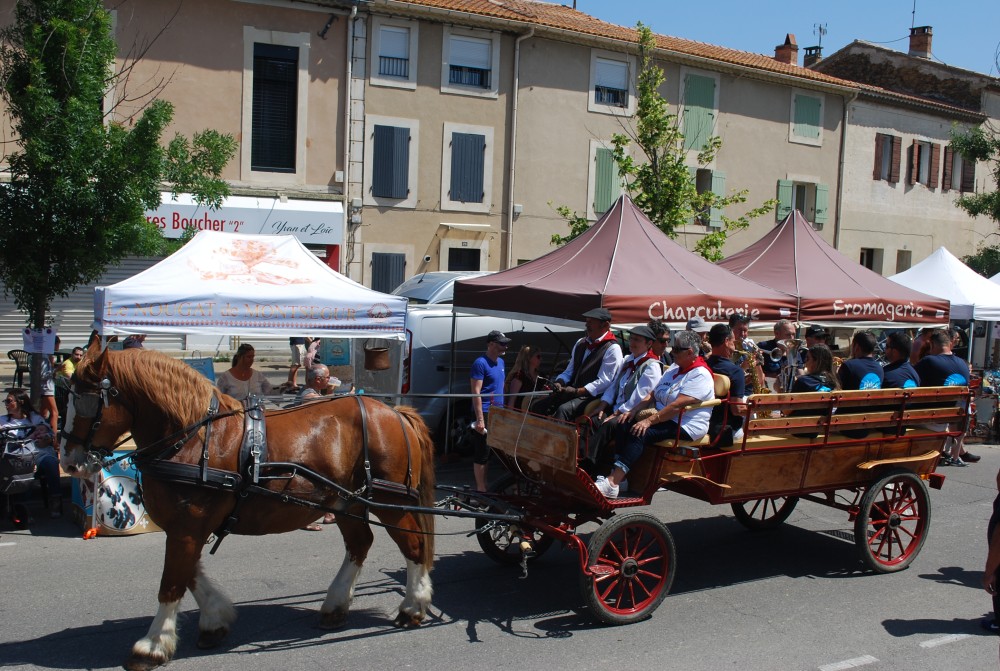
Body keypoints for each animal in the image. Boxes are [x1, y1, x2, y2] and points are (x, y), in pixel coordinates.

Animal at [60, 344, 436, 668]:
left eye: (86, 400)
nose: (69, 461)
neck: (192, 438)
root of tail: (394, 412)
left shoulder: (187, 527)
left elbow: (172, 581)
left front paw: (152, 646)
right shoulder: (186, 528)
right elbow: (189, 573)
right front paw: (215, 619)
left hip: (389, 500)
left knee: (413, 546)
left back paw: (412, 607)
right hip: (348, 501)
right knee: (360, 544)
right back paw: (336, 605)